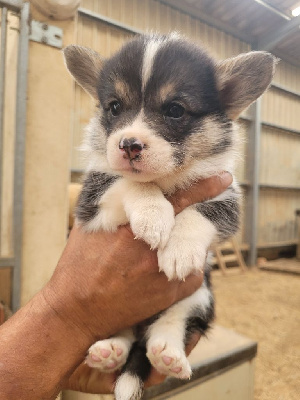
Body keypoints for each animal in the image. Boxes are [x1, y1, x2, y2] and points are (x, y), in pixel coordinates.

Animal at [63, 32, 276, 398]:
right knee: (122, 329)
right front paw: (153, 215)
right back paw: (109, 349)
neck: (165, 178)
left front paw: (179, 250)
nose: (129, 144)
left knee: (170, 324)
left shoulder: (227, 198)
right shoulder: (92, 197)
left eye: (175, 110)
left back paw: (168, 354)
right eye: (114, 107)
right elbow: (130, 183)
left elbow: (200, 213)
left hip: (200, 294)